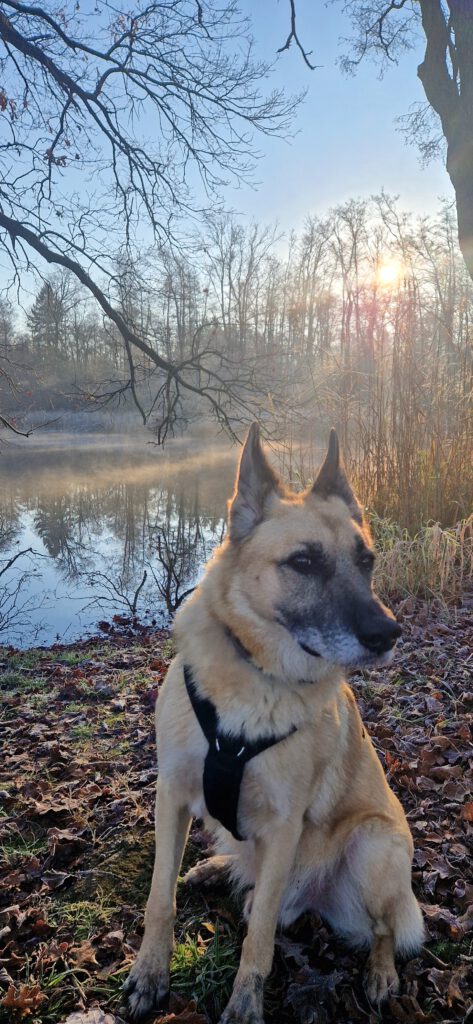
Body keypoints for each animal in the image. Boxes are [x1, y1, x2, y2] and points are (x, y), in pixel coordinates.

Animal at [123, 423, 423, 1024]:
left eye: (367, 561)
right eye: (304, 563)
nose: (389, 634)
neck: (255, 676)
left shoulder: (284, 828)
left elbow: (258, 936)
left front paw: (245, 1003)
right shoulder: (171, 798)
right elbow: (159, 899)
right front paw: (150, 973)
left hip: (375, 844)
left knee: (383, 927)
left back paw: (381, 973)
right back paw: (215, 869)